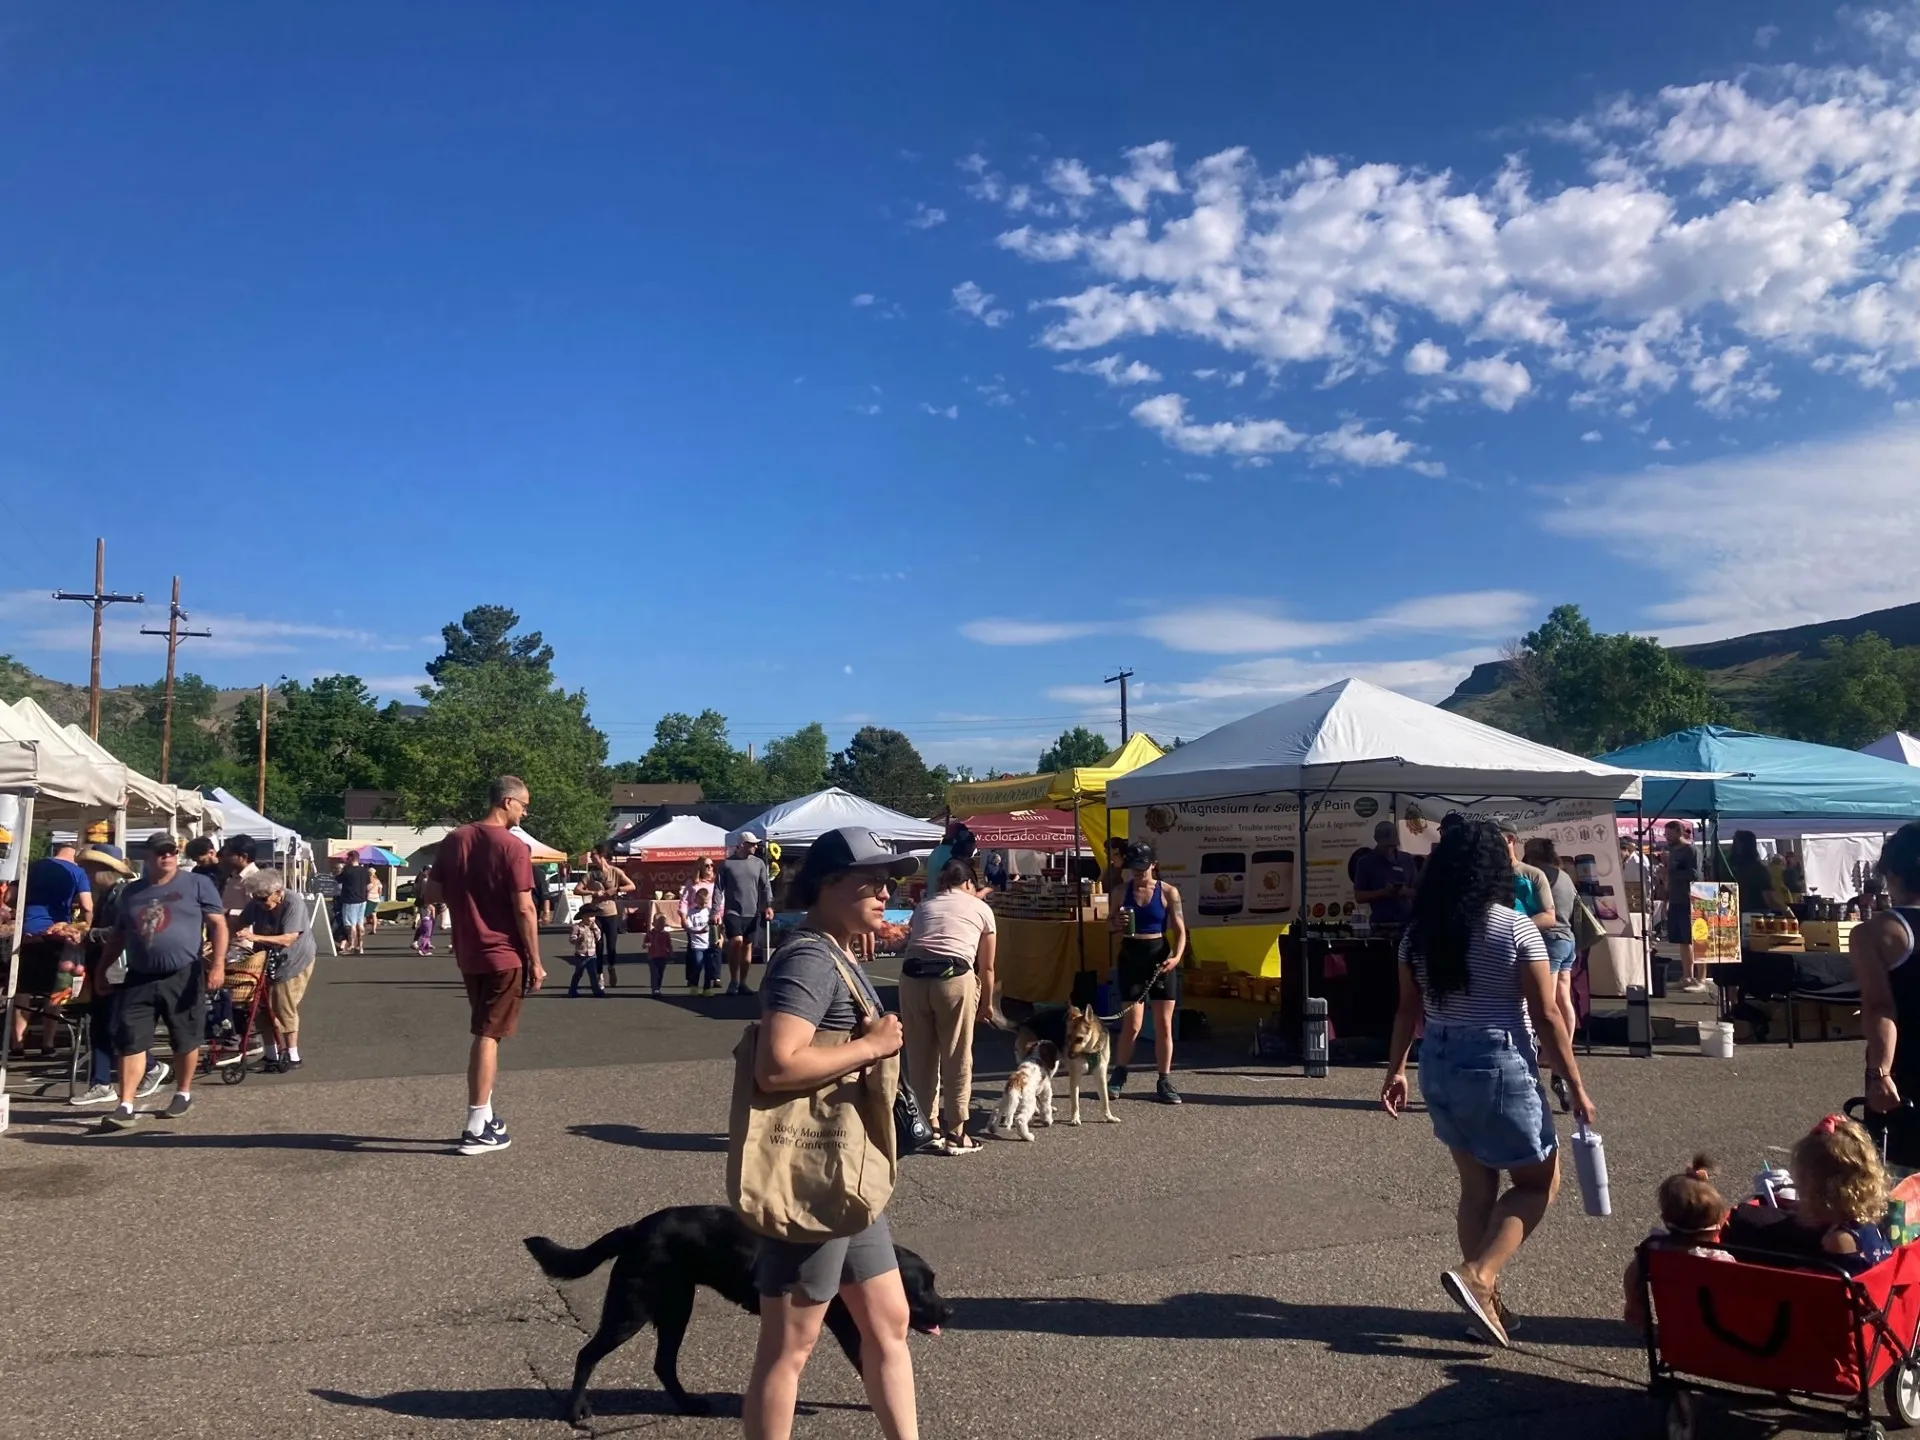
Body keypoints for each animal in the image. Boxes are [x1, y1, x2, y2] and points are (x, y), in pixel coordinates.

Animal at [522, 1205, 948, 1420]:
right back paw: (576, 1410)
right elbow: (864, 1361)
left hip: (676, 1306)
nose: (947, 1310)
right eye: (919, 1290)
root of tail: (634, 1228)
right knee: (587, 1354)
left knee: (663, 1364)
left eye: (933, 1282)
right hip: (631, 1309)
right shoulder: (845, 1325)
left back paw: (690, 1406)